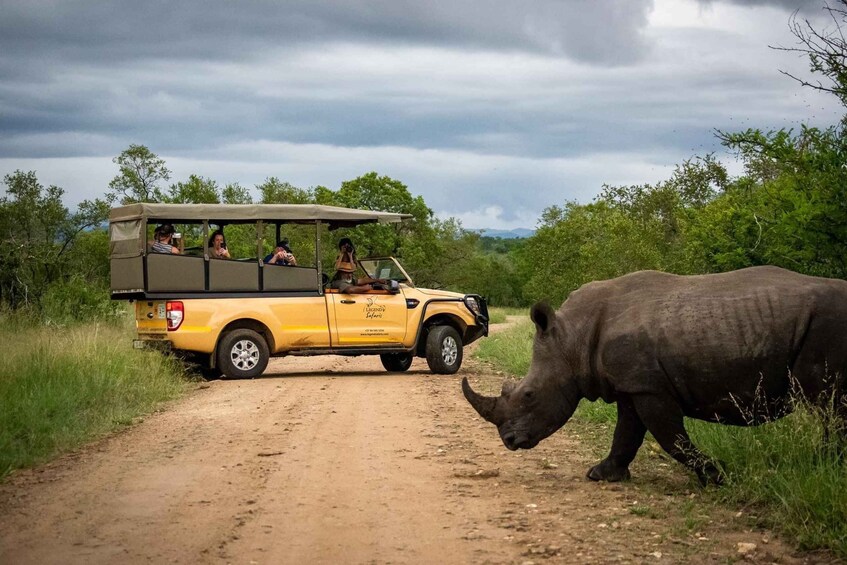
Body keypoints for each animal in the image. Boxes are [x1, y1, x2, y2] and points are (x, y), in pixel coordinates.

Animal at [463, 266, 847, 485]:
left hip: (826, 325)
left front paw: (718, 475)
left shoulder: (649, 387)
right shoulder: (632, 385)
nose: (509, 441)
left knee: (829, 403)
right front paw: (602, 476)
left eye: (528, 395)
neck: (572, 339)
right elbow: (627, 433)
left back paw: (826, 465)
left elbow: (670, 437)